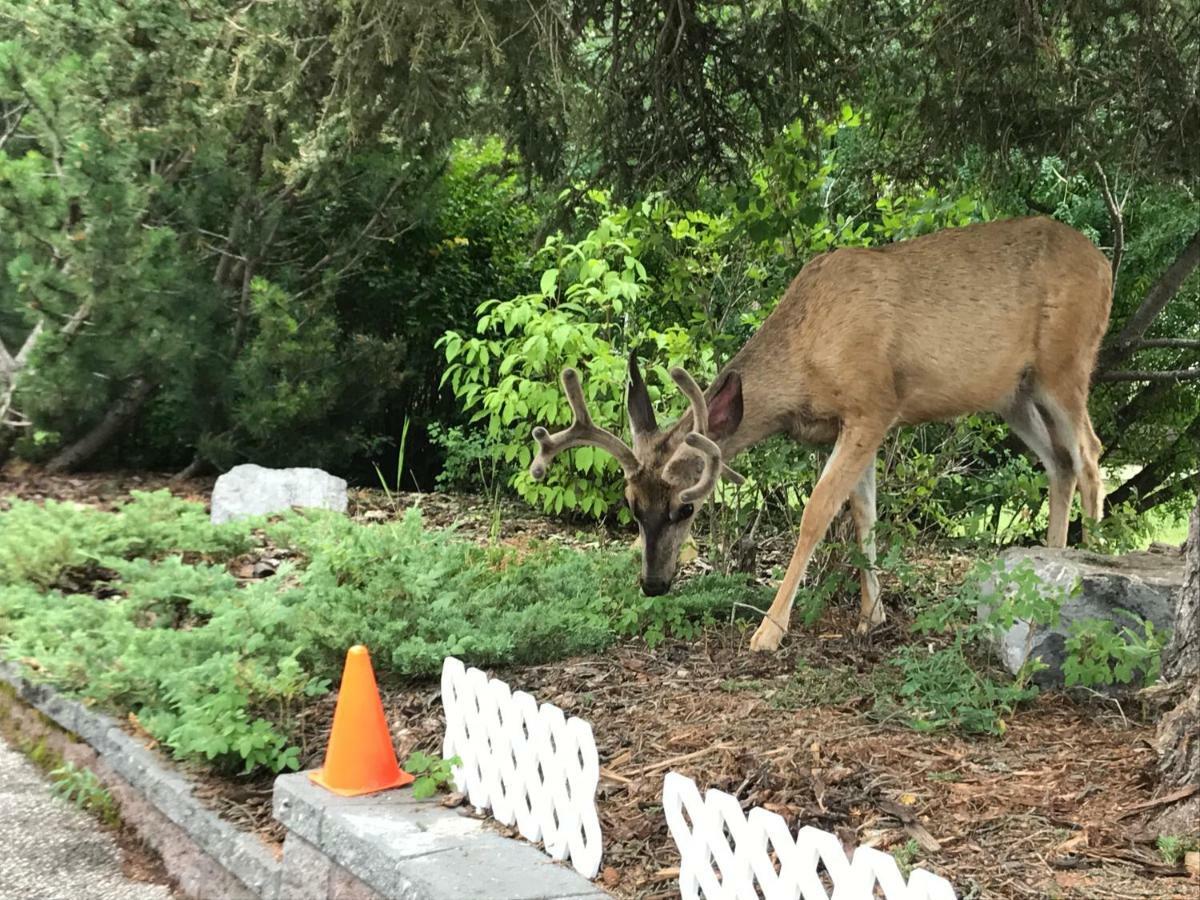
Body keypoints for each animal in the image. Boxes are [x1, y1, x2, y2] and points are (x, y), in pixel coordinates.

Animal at [530, 218, 1108, 657]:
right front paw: (872, 616)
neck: (806, 356)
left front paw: (768, 630)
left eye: (686, 508)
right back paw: (1053, 561)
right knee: (1059, 461)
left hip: (1065, 363)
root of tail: (1103, 264)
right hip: (1014, 393)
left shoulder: (873, 404)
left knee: (1089, 454)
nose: (653, 584)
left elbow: (818, 511)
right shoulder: (858, 425)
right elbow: (863, 514)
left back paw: (1090, 564)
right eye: (632, 505)